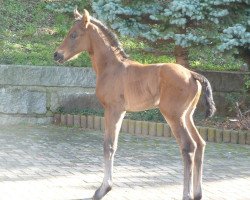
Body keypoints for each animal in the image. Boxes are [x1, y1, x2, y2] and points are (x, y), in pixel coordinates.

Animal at [54, 9, 215, 200]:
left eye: (73, 34)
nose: (56, 55)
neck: (112, 67)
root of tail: (192, 74)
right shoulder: (121, 111)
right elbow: (112, 144)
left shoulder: (113, 110)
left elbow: (108, 145)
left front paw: (103, 189)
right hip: (187, 115)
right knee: (200, 144)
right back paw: (197, 193)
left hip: (174, 116)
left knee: (188, 146)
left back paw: (187, 194)